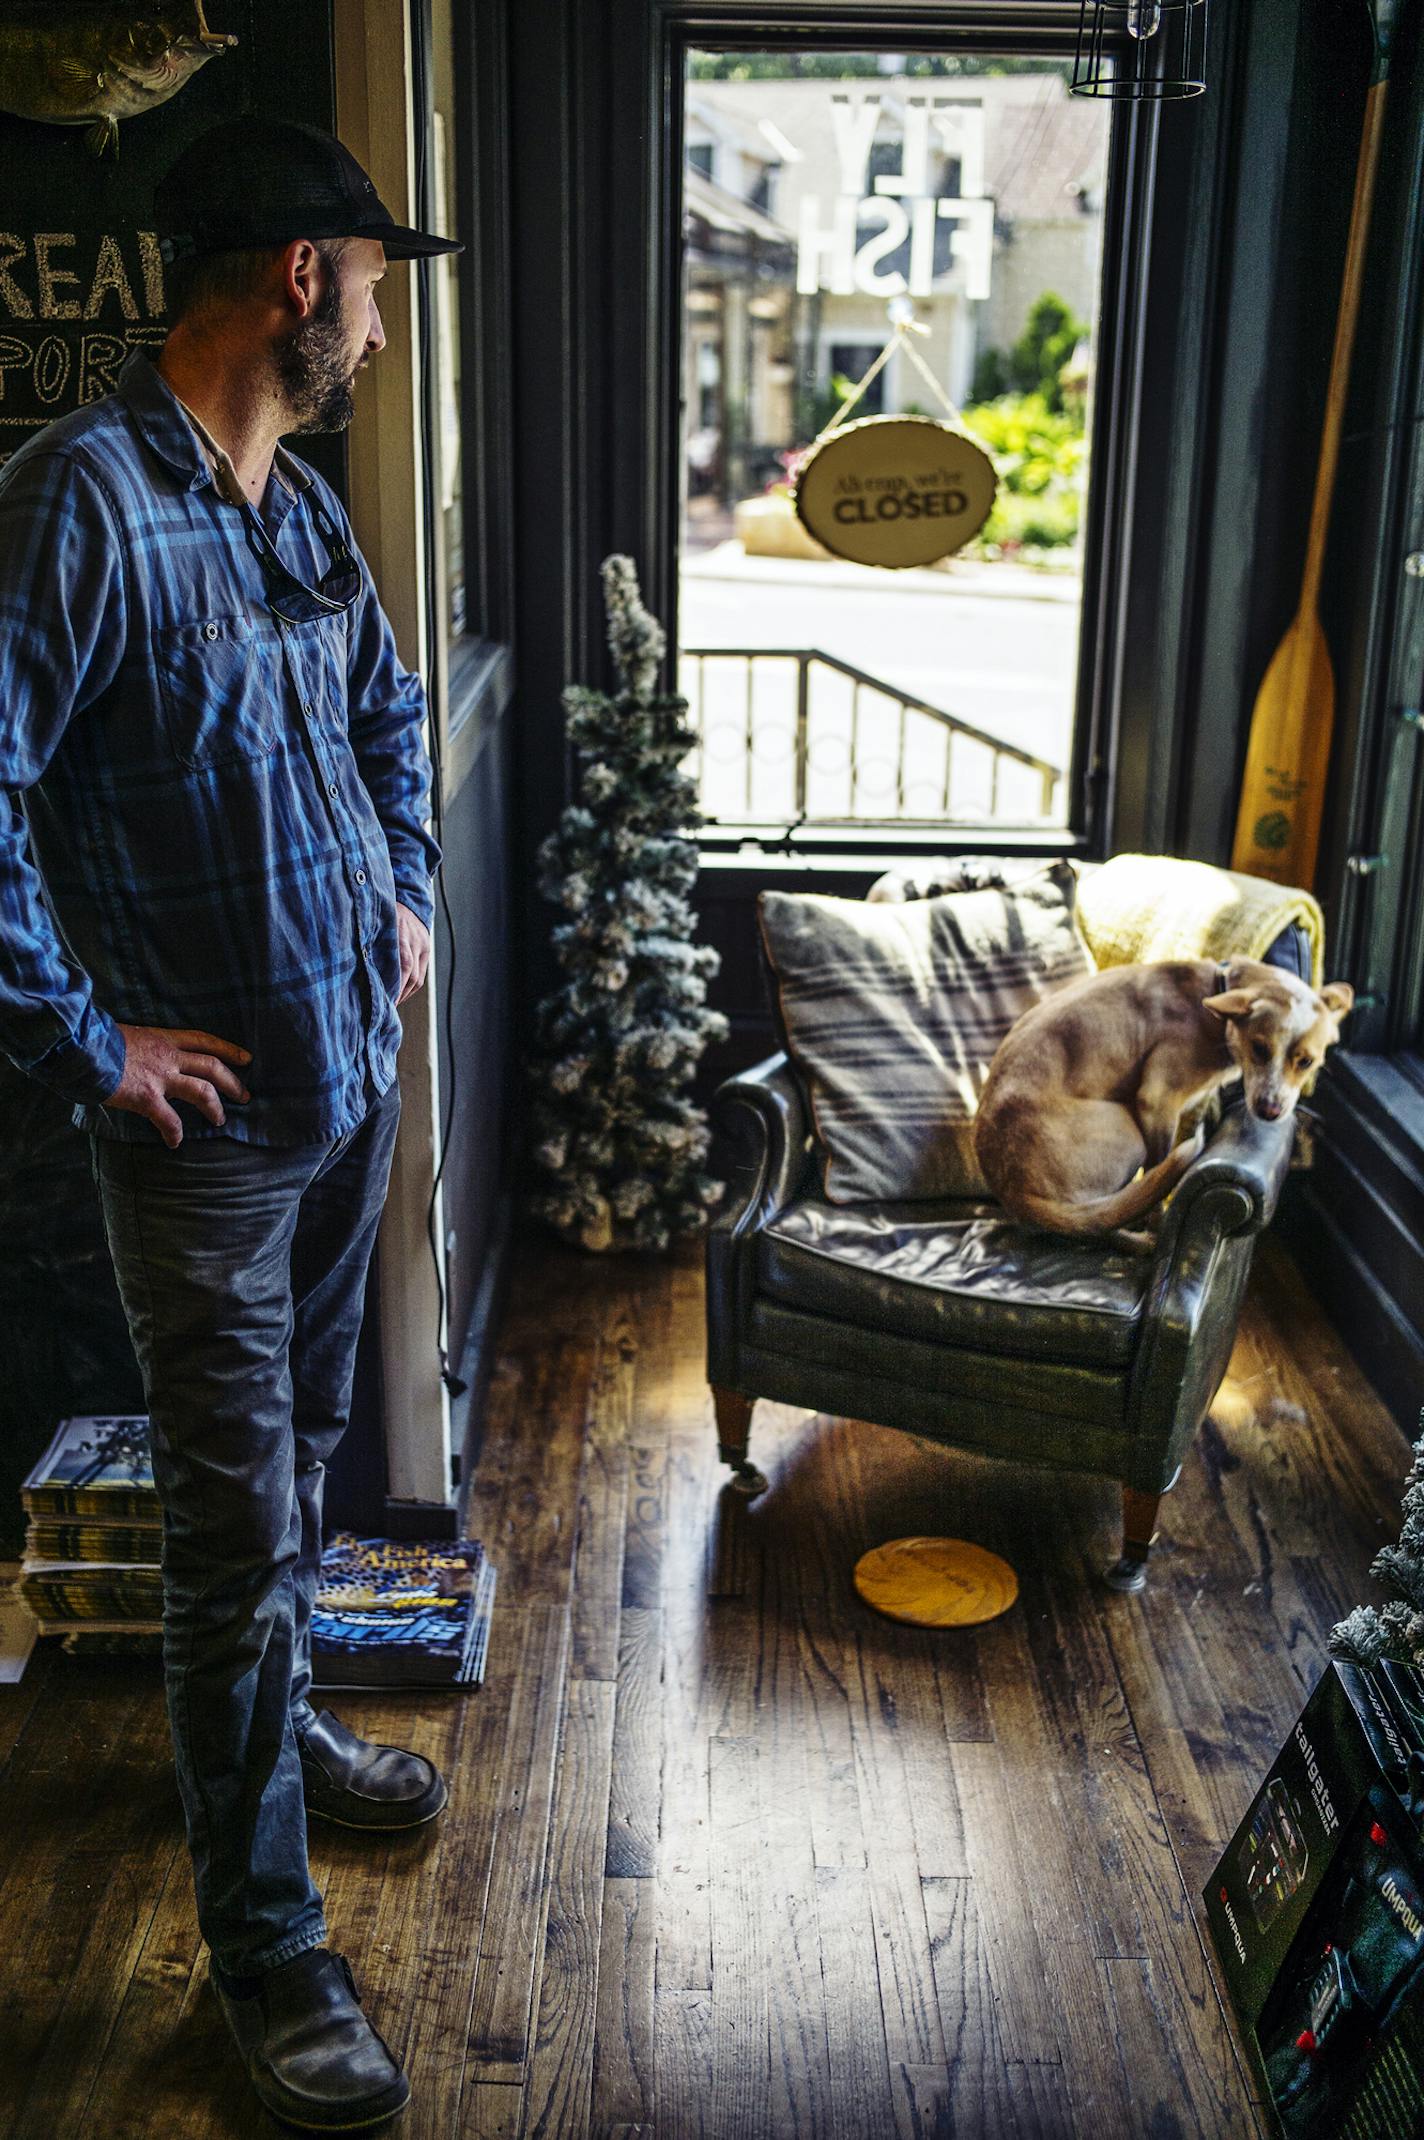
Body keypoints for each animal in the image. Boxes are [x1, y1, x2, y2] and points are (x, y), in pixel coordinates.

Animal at [972, 958, 1353, 1241]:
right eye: (1260, 1048)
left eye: (1306, 1062)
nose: (1270, 1110)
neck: (1215, 997)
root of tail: (1017, 1194)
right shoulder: (1157, 1102)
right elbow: (1160, 1168)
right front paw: (1156, 1222)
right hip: (1128, 1132)